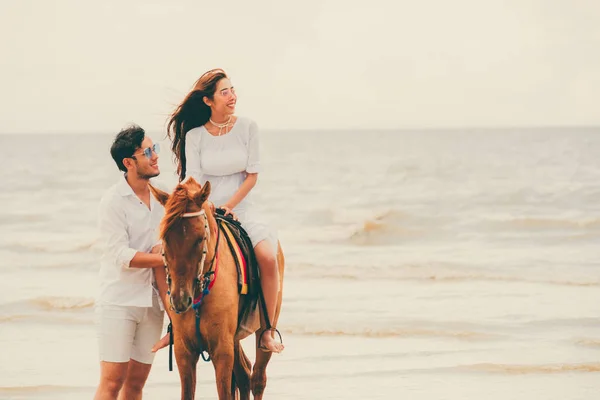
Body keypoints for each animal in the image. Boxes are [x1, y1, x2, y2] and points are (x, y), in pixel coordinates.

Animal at [149, 178, 282, 400]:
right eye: (165, 238)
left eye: (199, 238)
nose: (180, 300)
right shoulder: (184, 351)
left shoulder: (222, 350)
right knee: (244, 374)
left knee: (257, 378)